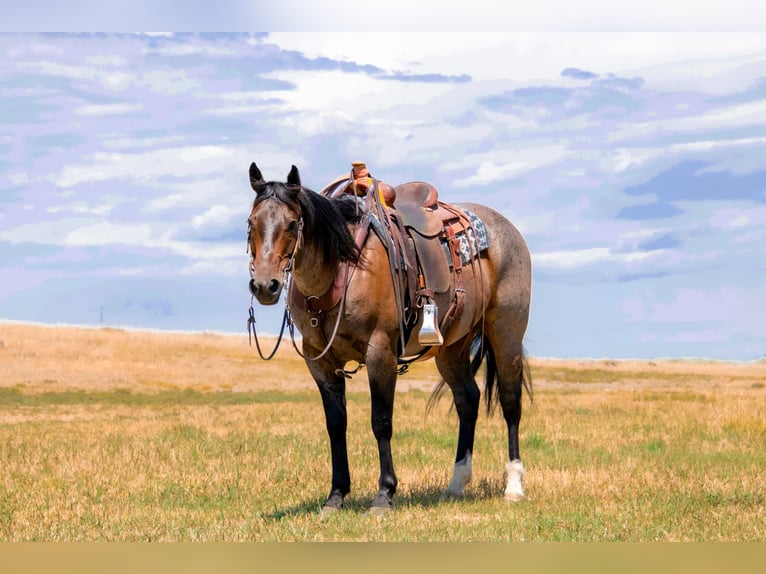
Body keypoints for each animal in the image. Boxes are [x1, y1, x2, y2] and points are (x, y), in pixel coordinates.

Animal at [246, 162, 532, 514]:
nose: (265, 285)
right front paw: (336, 495)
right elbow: (335, 425)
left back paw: (514, 485)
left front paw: (384, 494)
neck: (343, 267)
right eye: (251, 223)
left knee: (510, 403)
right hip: (451, 348)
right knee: (468, 400)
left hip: (506, 333)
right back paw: (456, 484)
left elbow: (381, 421)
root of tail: (508, 229)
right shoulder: (321, 362)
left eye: (292, 223)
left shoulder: (379, 352)